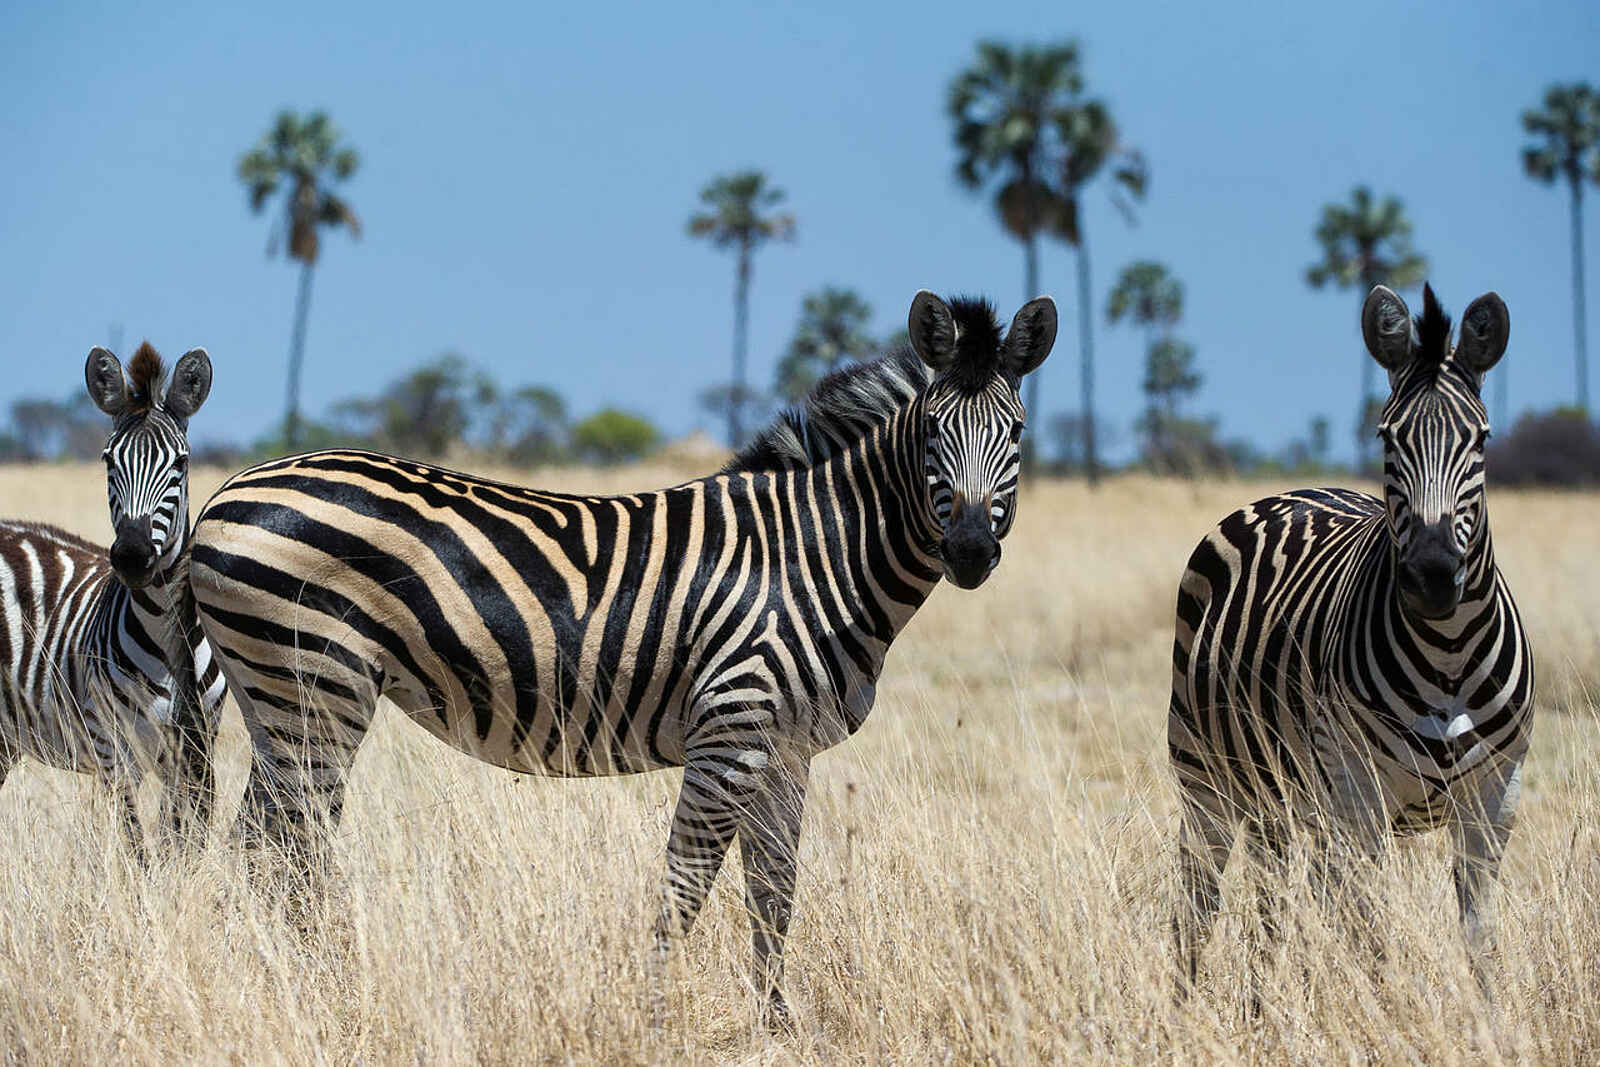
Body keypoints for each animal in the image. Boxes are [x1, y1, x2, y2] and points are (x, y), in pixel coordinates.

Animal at [0, 343, 227, 857]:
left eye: (180, 465)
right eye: (108, 461)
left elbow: (182, 846)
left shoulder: (196, 750)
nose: (132, 556)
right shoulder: (114, 750)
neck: (167, 632)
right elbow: (138, 849)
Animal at [187, 289, 1056, 1026]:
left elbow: (774, 892)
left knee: (258, 848)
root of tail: (228, 489)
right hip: (317, 688)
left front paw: (776, 1024)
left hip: (280, 702)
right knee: (295, 853)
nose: (970, 551)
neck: (817, 554)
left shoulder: (786, 746)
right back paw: (323, 991)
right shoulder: (731, 731)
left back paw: (260, 981)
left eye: (1016, 434)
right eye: (933, 432)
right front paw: (656, 1014)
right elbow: (686, 885)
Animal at [1168, 283, 1533, 1002]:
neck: (1448, 654)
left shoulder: (1494, 798)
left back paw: (1267, 1002)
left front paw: (1490, 1018)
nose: (1431, 576)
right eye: (1388, 437)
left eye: (1481, 439)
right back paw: (1190, 1001)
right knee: (1203, 899)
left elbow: (1479, 939)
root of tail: (1292, 489)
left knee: (1278, 903)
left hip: (1288, 803)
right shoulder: (1359, 795)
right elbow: (1373, 940)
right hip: (1207, 777)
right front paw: (1386, 1012)